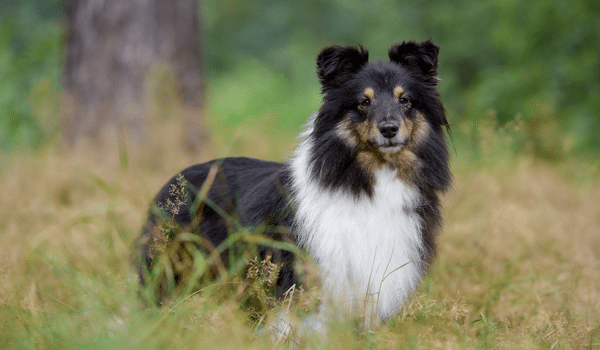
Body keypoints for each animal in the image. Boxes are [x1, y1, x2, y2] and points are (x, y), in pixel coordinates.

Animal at [138, 40, 450, 330]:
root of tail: (172, 182)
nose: (389, 130)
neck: (372, 176)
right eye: (364, 102)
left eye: (405, 100)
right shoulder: (307, 277)